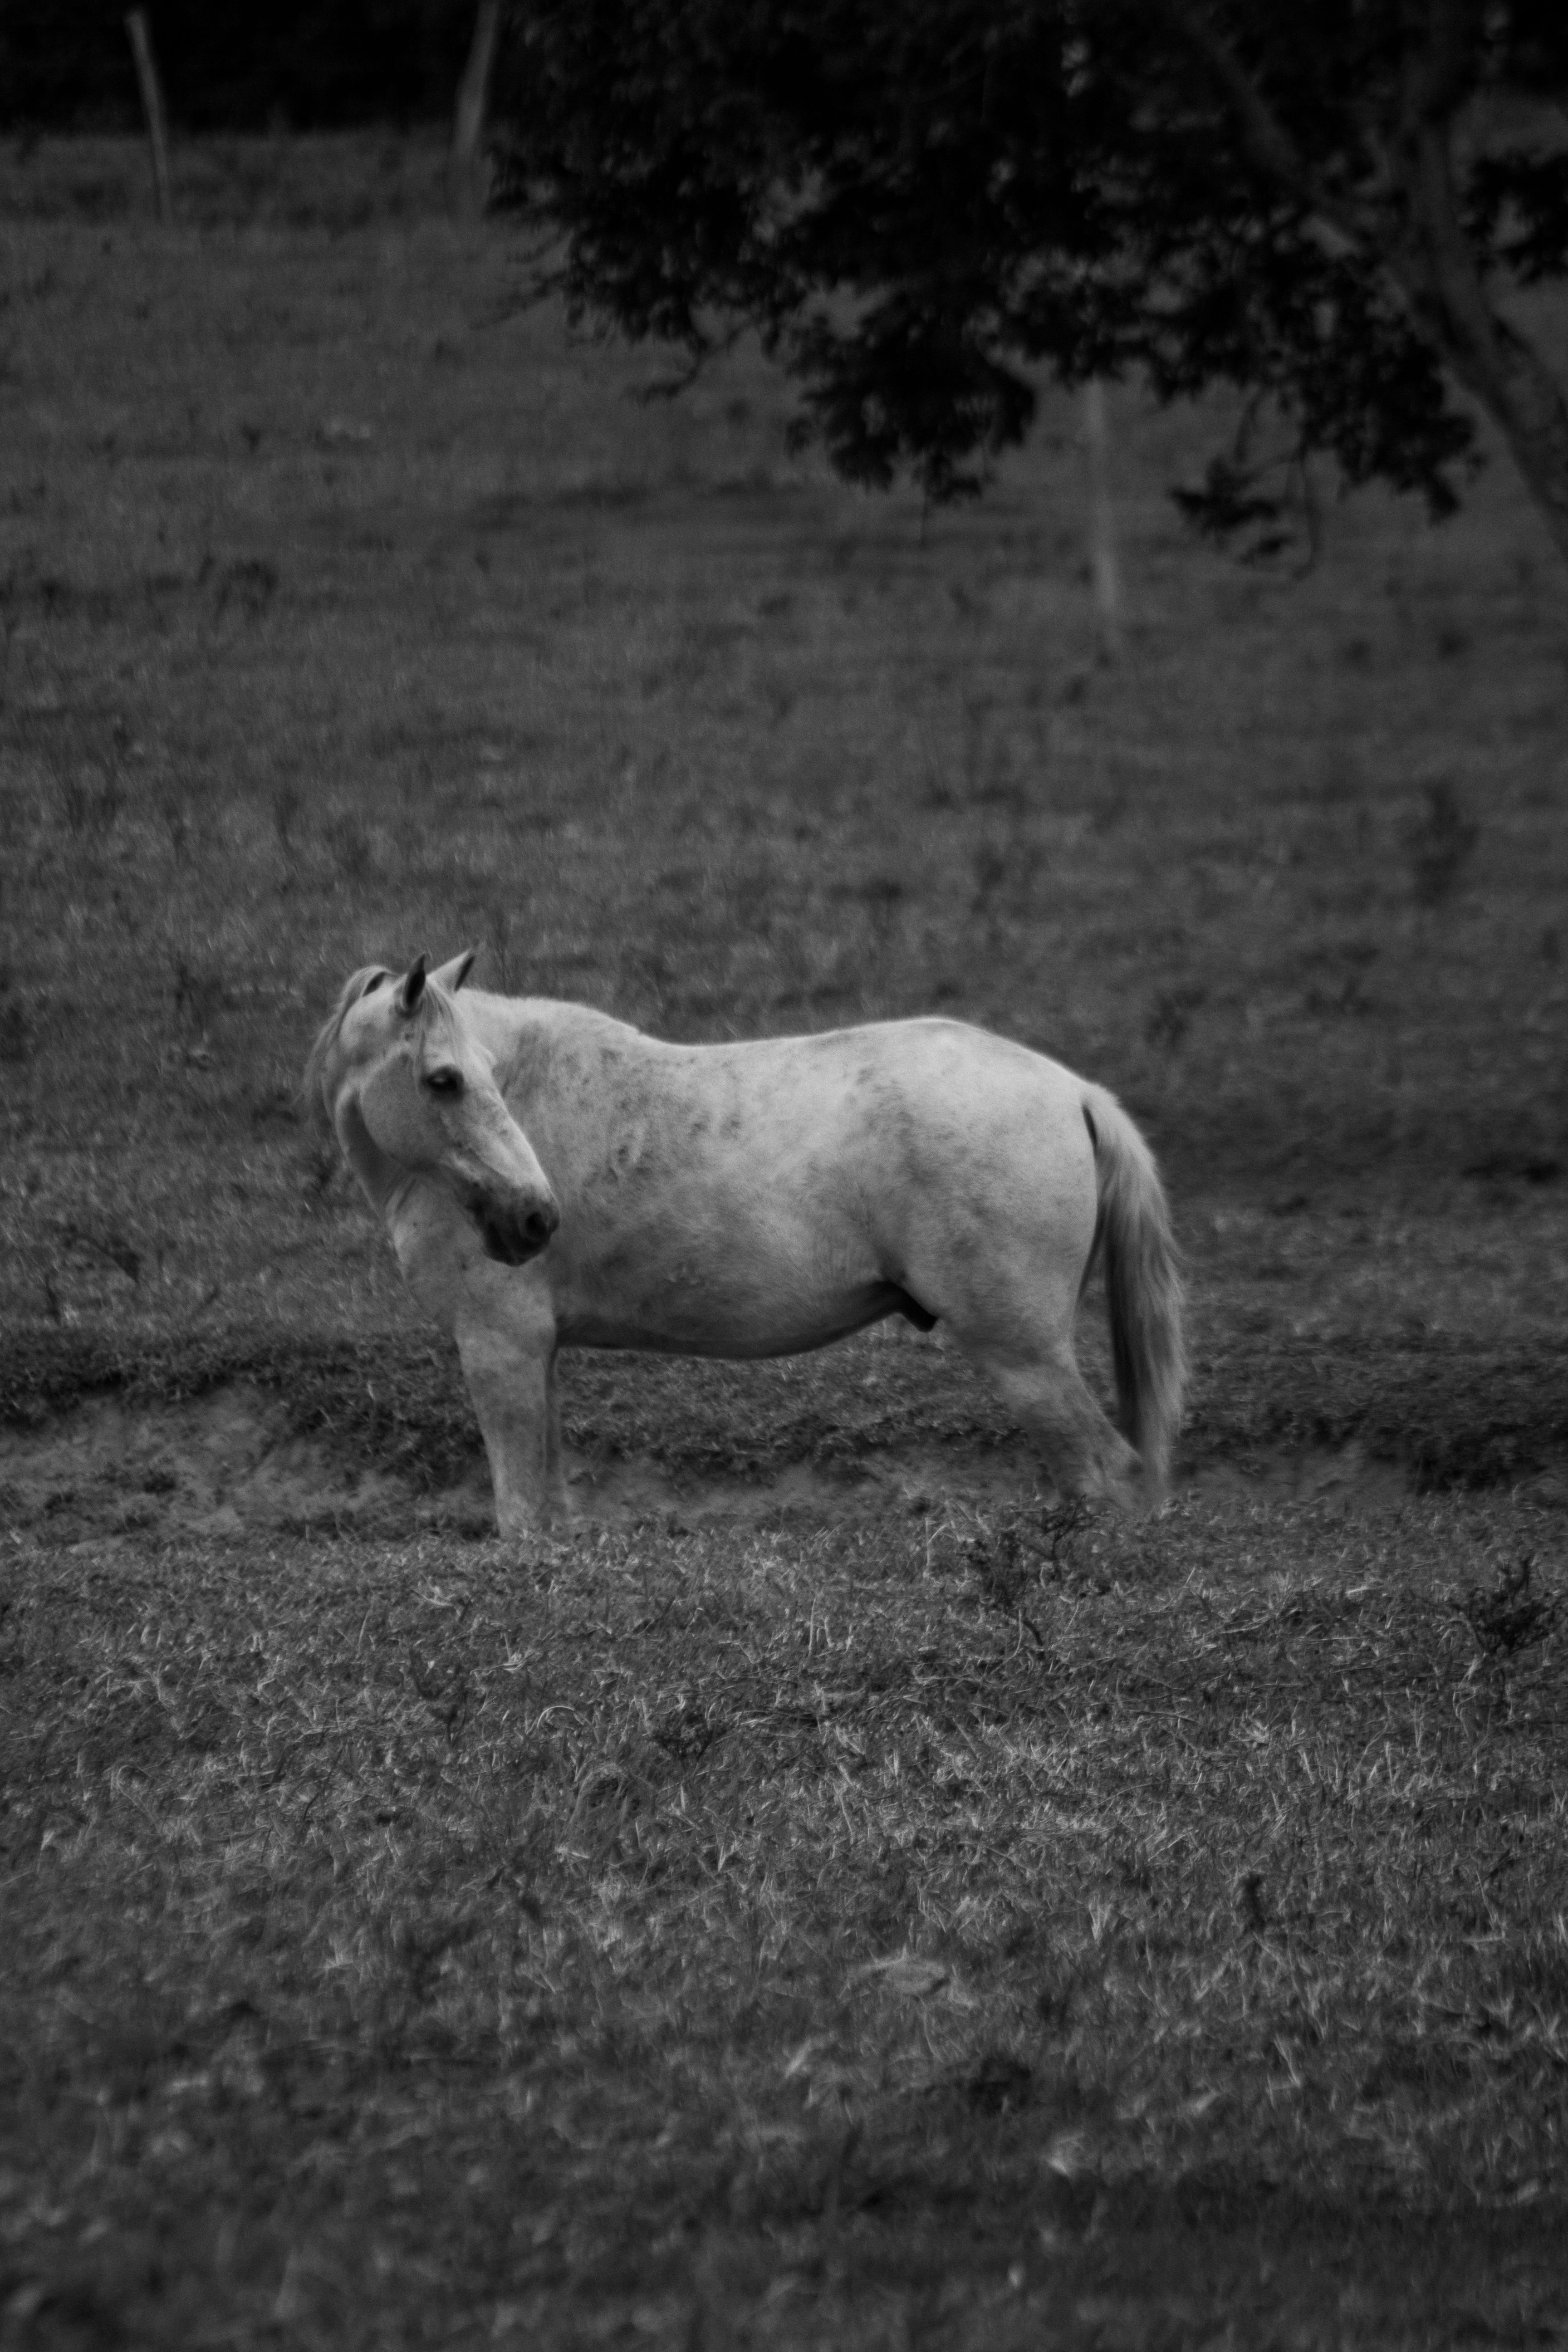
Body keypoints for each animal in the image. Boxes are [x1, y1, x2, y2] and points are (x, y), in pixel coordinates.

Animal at [304, 951, 1186, 1538]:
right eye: (445, 1079)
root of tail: (1074, 1091)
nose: (534, 1219)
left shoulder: (501, 1346)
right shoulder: (536, 1352)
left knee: (1109, 1473)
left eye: (467, 1075)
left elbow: (522, 1520)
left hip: (1022, 1354)